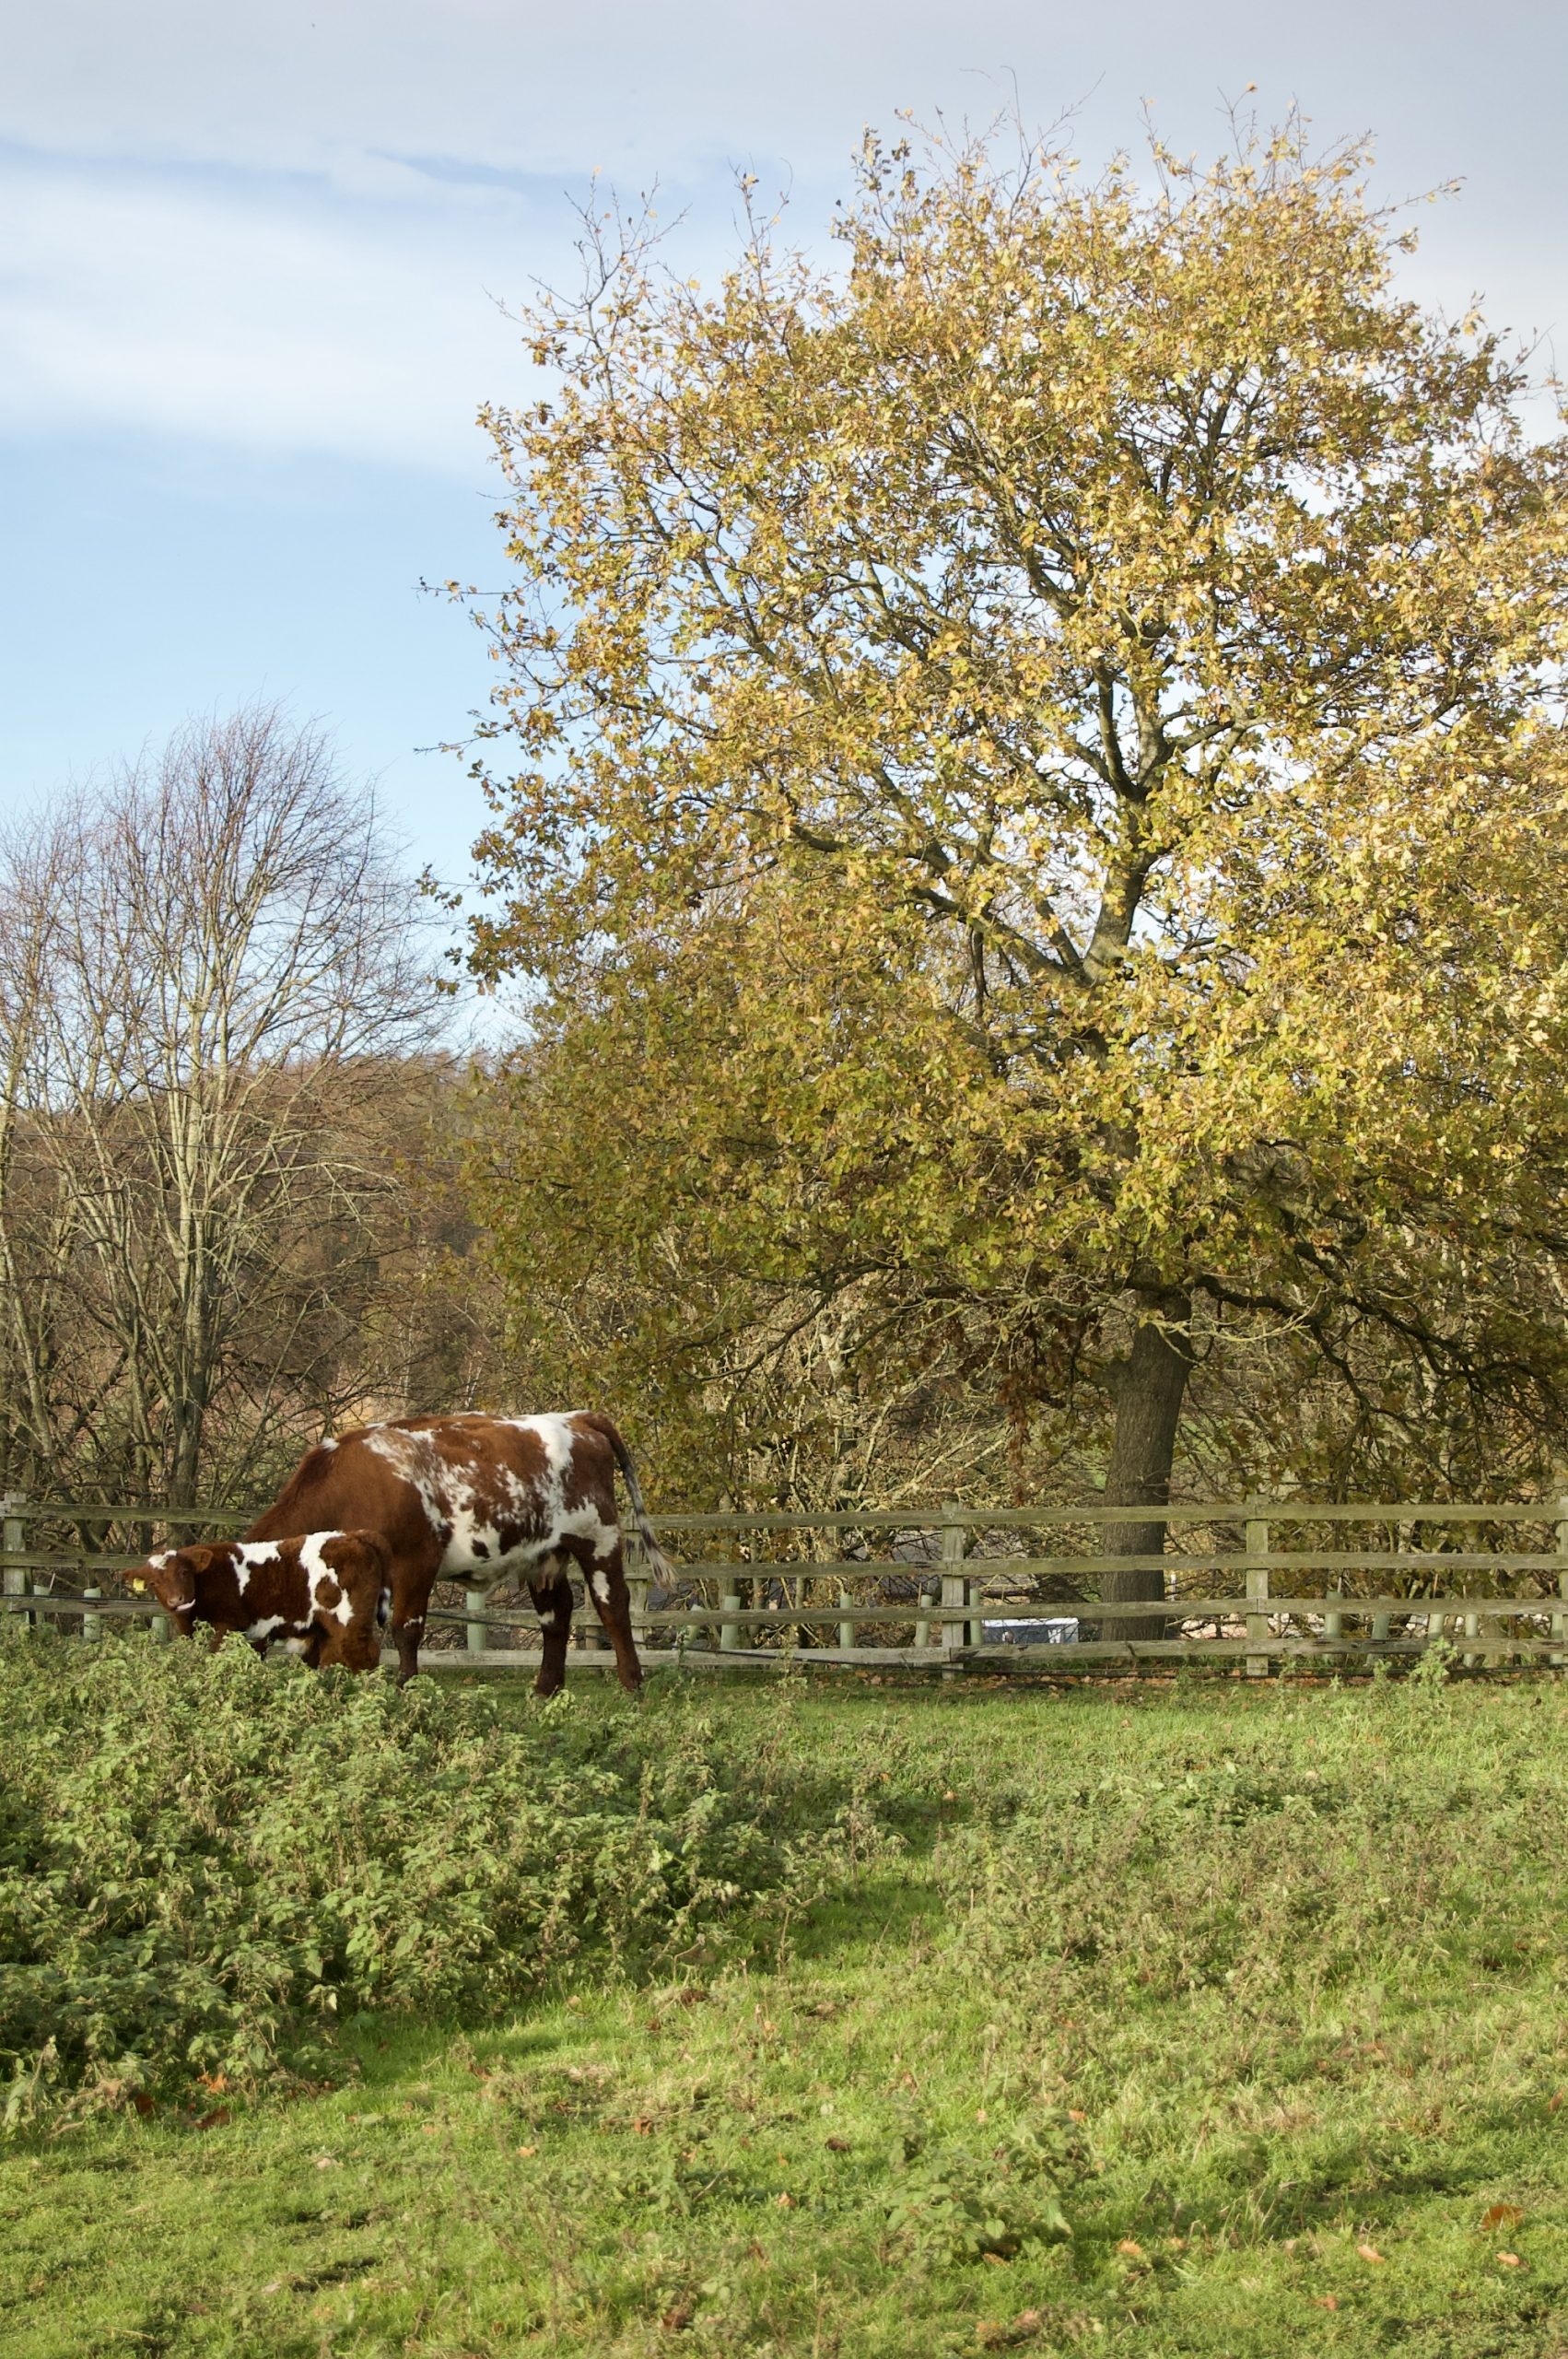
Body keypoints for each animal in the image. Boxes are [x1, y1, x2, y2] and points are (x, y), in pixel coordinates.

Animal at [127, 1530, 390, 1671]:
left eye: (184, 1572)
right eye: (153, 1583)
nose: (176, 1600)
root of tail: (356, 1536)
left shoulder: (227, 1626)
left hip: (349, 1620)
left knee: (362, 1654)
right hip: (327, 1627)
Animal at [243, 1410, 668, 1692]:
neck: (347, 1488)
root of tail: (577, 1418)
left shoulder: (414, 1562)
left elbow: (406, 1629)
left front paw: (406, 1686)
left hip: (598, 1539)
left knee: (613, 1605)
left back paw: (632, 1684)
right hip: (542, 1555)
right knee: (556, 1614)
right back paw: (544, 1689)